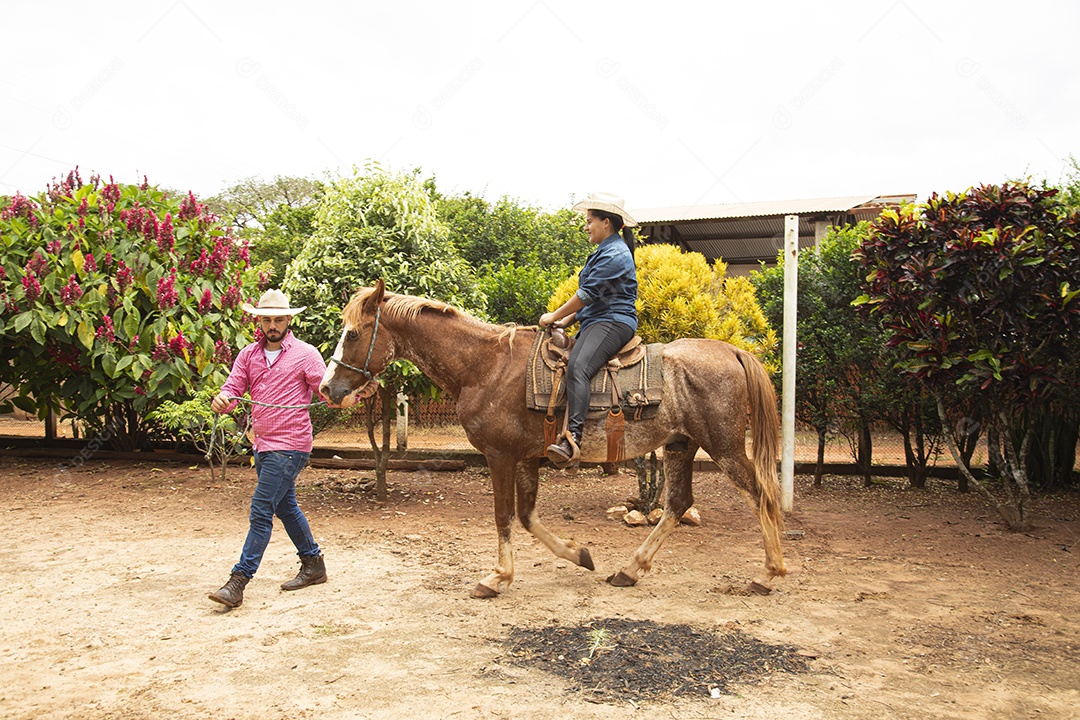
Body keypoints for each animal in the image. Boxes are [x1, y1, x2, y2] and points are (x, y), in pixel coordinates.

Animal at [320, 279, 786, 598]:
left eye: (354, 334)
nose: (327, 388)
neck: (485, 366)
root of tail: (733, 351)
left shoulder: (501, 456)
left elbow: (504, 516)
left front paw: (497, 577)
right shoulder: (526, 458)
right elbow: (527, 517)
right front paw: (579, 555)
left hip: (724, 447)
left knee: (761, 495)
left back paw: (768, 574)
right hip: (679, 446)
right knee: (677, 505)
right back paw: (629, 570)